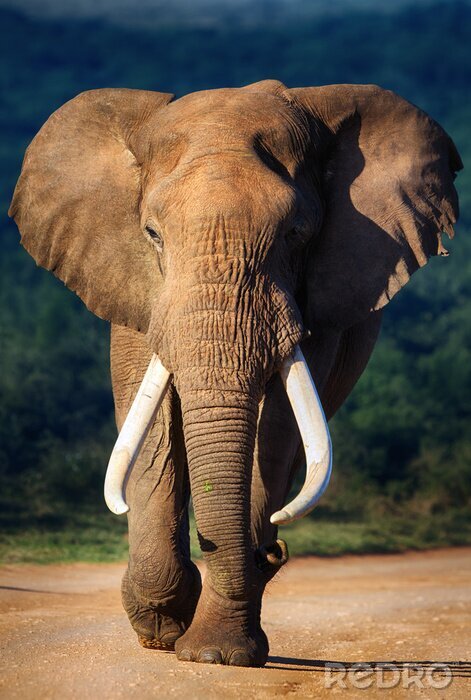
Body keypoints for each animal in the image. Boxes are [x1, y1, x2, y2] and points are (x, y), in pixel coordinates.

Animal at [9, 79, 461, 667]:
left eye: (296, 233)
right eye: (152, 233)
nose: (275, 552)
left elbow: (277, 430)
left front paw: (215, 655)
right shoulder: (133, 284)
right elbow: (150, 420)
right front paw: (164, 627)